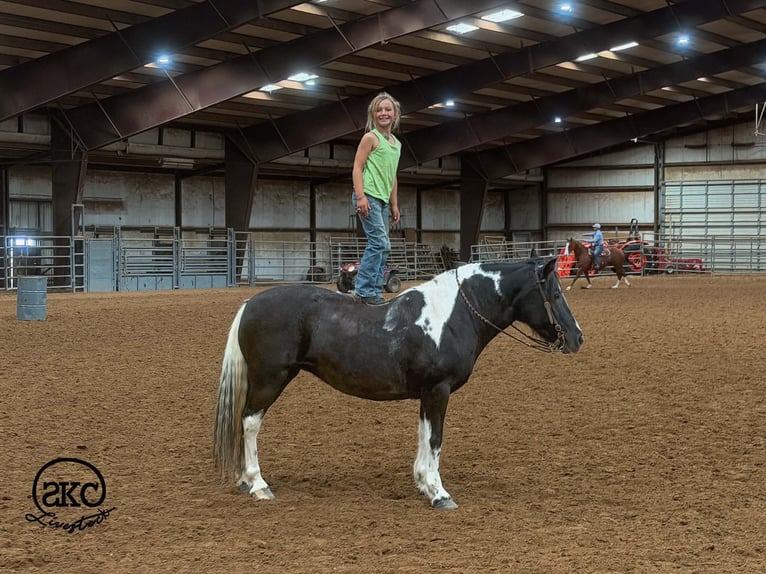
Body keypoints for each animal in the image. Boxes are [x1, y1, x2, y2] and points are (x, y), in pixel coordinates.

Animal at [214, 256, 583, 510]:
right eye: (554, 293)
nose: (578, 337)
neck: (452, 314)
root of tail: (250, 303)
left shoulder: (427, 393)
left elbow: (424, 436)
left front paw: (423, 483)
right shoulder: (438, 389)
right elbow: (435, 439)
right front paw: (439, 494)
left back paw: (245, 481)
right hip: (271, 379)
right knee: (249, 423)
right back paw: (258, 484)